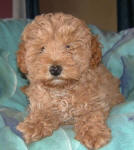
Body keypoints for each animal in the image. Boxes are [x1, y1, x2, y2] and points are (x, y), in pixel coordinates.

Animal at [16, 12, 124, 149]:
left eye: (68, 47)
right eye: (42, 49)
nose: (55, 69)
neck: (62, 89)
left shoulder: (95, 100)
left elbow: (91, 115)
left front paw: (93, 133)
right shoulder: (41, 103)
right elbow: (42, 113)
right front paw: (32, 126)